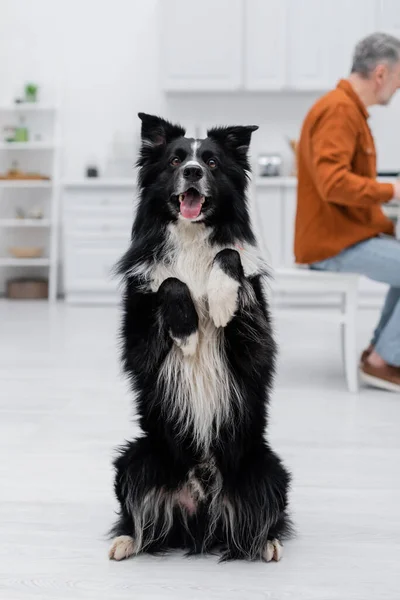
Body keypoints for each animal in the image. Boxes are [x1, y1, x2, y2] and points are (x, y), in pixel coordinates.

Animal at [108, 112, 290, 564]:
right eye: (175, 160)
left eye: (210, 162)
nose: (192, 171)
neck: (191, 238)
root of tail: (201, 516)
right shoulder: (137, 337)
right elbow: (171, 282)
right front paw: (187, 333)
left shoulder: (257, 343)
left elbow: (229, 255)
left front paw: (222, 301)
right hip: (135, 457)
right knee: (139, 516)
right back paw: (126, 541)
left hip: (268, 468)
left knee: (265, 518)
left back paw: (268, 543)